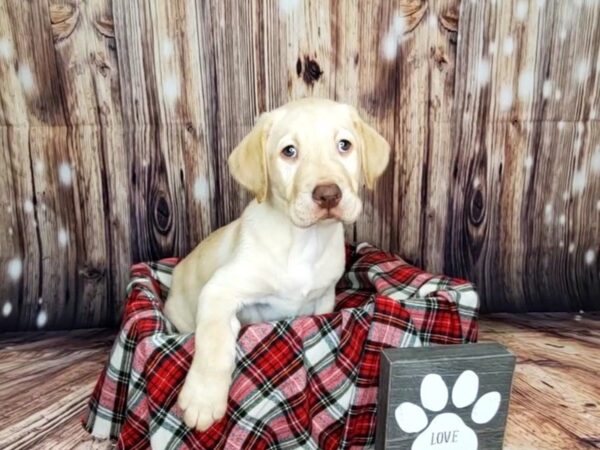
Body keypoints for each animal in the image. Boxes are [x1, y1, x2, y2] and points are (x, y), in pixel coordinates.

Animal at [163, 96, 390, 430]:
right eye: (289, 152)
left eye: (344, 145)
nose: (328, 195)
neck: (303, 241)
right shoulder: (220, 291)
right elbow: (214, 339)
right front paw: (203, 399)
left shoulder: (323, 298)